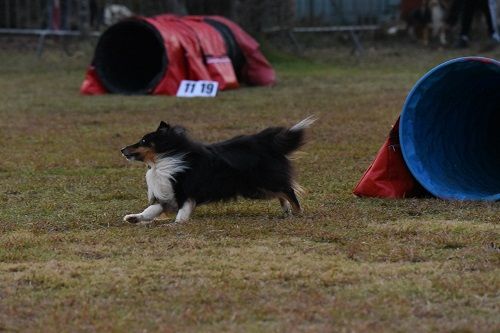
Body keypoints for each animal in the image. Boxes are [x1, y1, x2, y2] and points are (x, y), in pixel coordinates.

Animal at [121, 116, 314, 223]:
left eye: (144, 141)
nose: (122, 149)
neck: (164, 159)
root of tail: (266, 143)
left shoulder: (184, 191)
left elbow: (182, 210)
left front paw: (176, 223)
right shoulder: (167, 194)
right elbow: (150, 210)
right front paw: (134, 218)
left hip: (262, 182)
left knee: (288, 189)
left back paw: (298, 212)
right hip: (257, 188)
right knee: (282, 193)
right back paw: (287, 210)